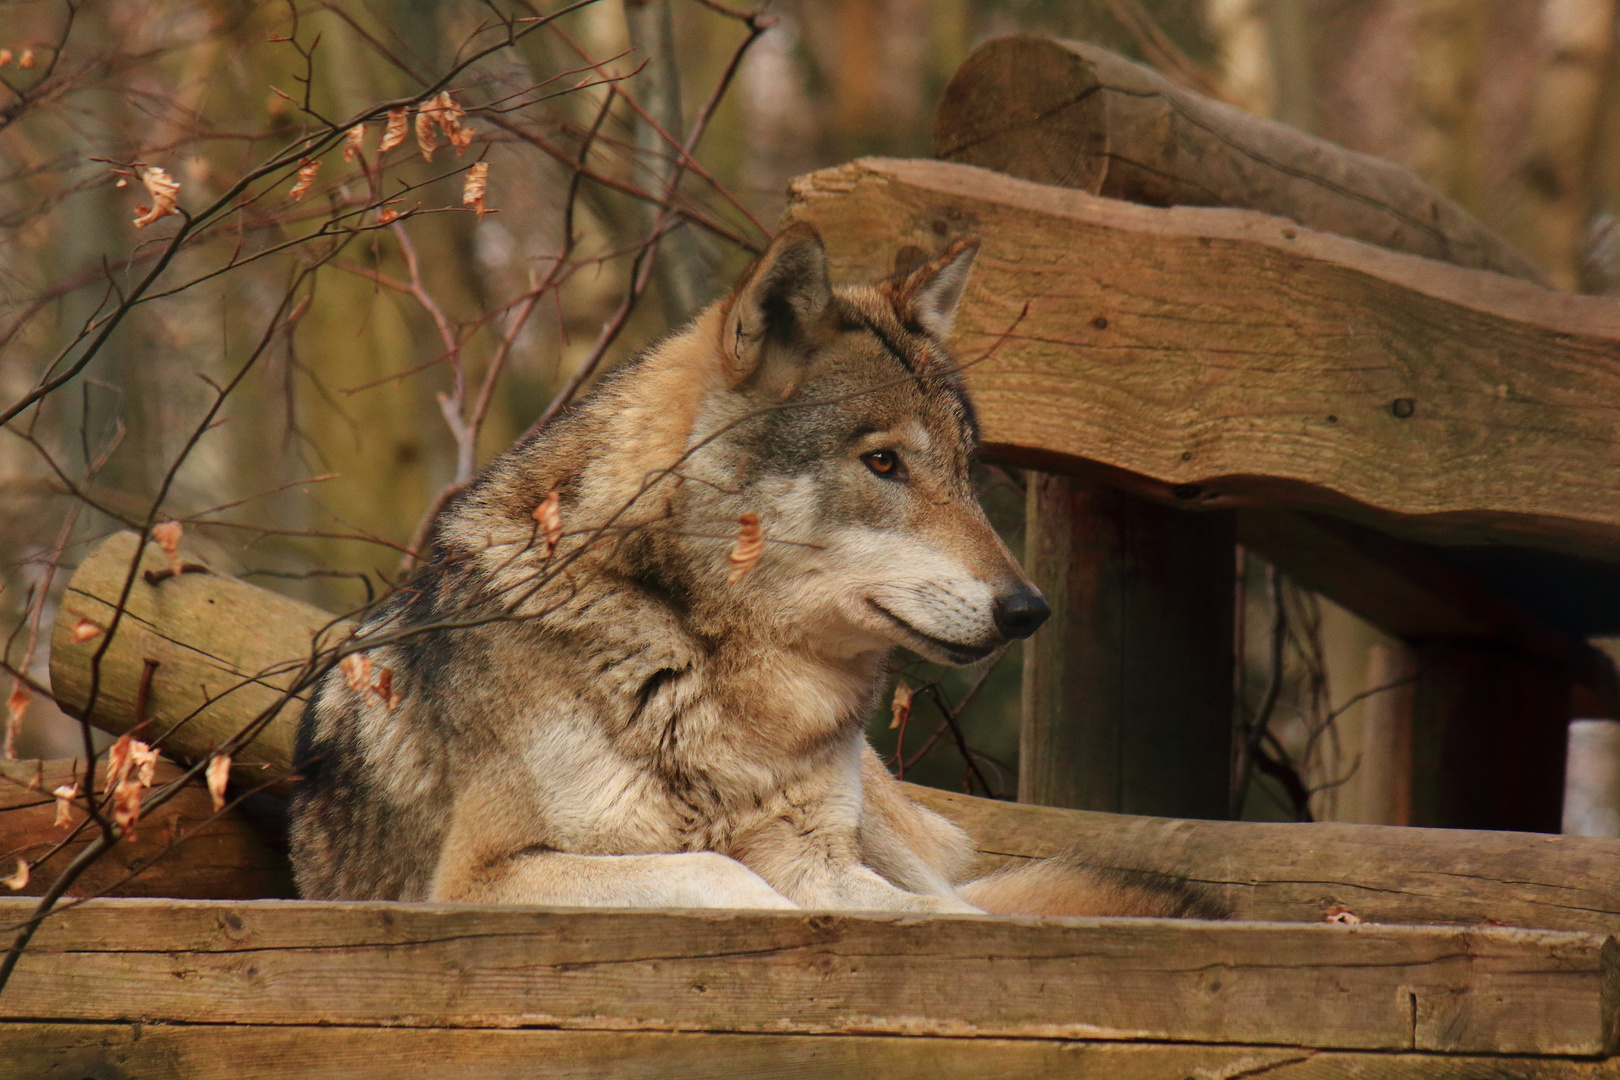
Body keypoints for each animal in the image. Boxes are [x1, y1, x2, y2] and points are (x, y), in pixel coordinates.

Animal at [294, 226, 1224, 919]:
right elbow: (724, 873)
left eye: (965, 471)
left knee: (962, 899)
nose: (1028, 610)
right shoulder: (482, 876)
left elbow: (910, 912)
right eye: (883, 463)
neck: (712, 670)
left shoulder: (822, 857)